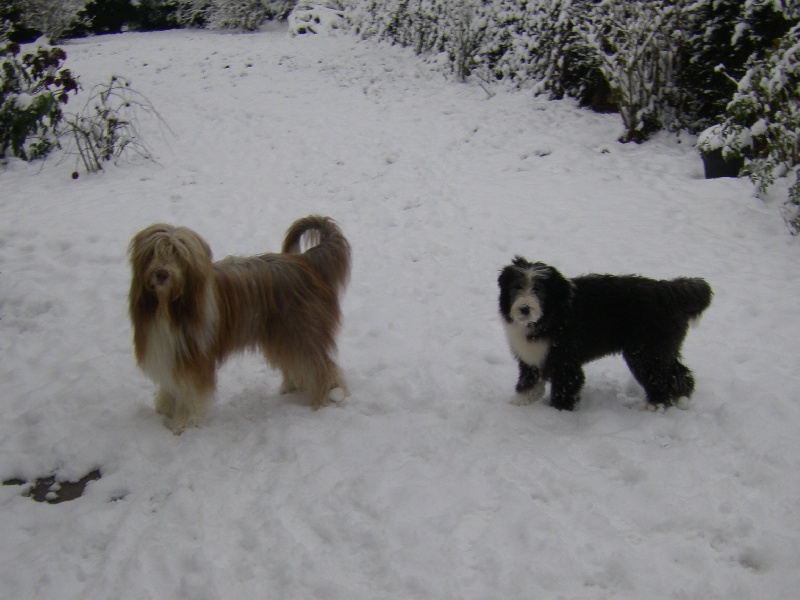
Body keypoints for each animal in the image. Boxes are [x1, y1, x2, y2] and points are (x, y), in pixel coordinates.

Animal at [129, 216, 350, 432]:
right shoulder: (169, 354)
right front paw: (165, 410)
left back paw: (325, 398)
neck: (169, 306)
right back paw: (295, 387)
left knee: (319, 366)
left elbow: (190, 391)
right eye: (153, 253)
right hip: (282, 336)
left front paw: (184, 422)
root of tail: (304, 261)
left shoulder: (193, 359)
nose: (162, 273)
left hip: (300, 332)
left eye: (177, 254)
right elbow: (170, 387)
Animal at [500, 258, 712, 412]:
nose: (524, 308)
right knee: (680, 374)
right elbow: (529, 381)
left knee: (661, 379)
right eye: (517, 287)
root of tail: (670, 291)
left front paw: (558, 413)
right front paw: (520, 402)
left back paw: (653, 406)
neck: (550, 315)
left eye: (538, 289)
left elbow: (565, 386)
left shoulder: (566, 360)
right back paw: (681, 399)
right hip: (662, 348)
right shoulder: (531, 357)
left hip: (645, 351)